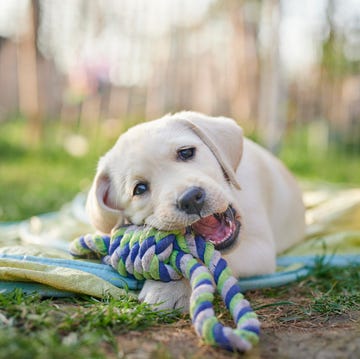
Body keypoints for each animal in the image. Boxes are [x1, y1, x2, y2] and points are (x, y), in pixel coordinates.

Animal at [86, 112, 306, 312]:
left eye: (186, 153)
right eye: (139, 189)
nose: (190, 199)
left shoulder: (261, 248)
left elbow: (203, 258)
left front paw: (170, 289)